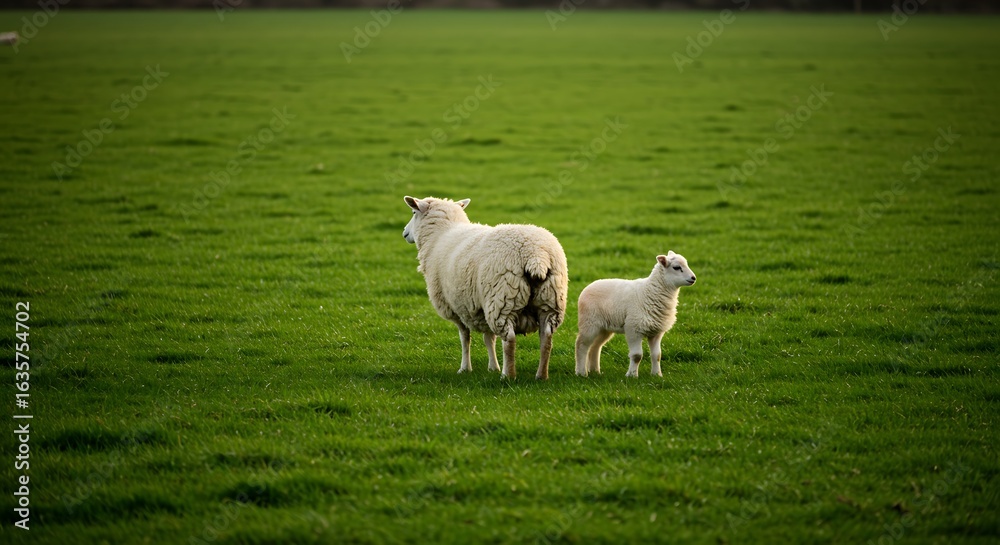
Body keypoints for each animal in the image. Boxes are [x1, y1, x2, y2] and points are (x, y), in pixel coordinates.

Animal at [402, 196, 568, 380]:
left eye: (413, 212)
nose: (404, 233)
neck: (440, 234)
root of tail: (536, 256)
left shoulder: (457, 308)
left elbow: (465, 338)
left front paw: (465, 368)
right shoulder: (480, 307)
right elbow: (489, 338)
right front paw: (493, 366)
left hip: (502, 298)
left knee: (509, 339)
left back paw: (508, 375)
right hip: (550, 299)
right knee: (546, 338)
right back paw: (541, 375)